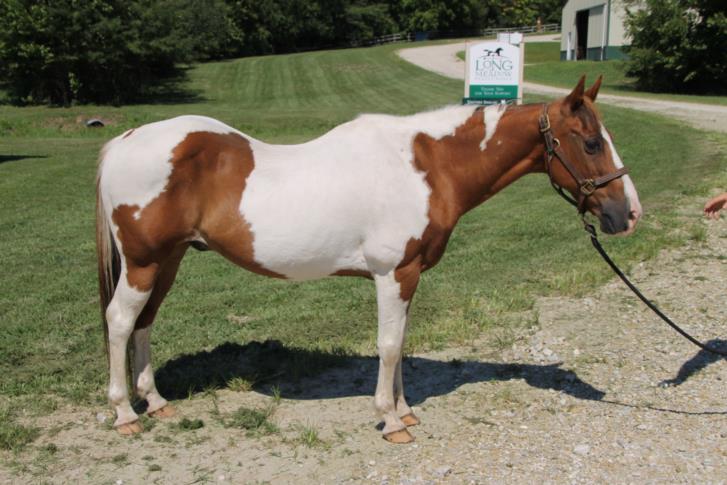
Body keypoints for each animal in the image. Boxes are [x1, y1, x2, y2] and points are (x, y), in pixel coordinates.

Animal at [96, 76, 644, 442]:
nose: (629, 214)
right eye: (591, 142)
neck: (424, 166)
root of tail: (122, 141)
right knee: (120, 321)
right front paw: (390, 420)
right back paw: (125, 413)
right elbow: (388, 345)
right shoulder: (392, 273)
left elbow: (400, 344)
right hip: (144, 263)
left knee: (145, 322)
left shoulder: (409, 275)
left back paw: (157, 402)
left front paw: (405, 410)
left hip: (167, 262)